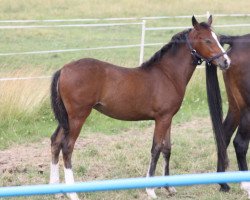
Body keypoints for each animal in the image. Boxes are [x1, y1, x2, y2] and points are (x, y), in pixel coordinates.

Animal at [49, 16, 230, 200]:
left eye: (217, 37)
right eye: (206, 40)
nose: (226, 62)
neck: (167, 74)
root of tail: (63, 69)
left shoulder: (168, 118)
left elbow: (167, 149)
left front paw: (169, 187)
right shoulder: (161, 119)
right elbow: (156, 148)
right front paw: (150, 190)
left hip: (66, 118)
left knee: (55, 142)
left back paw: (55, 190)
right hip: (77, 116)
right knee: (67, 147)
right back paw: (72, 193)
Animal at [205, 33, 250, 198]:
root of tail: (237, 40)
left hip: (235, 108)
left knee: (223, 136)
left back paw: (223, 183)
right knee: (240, 143)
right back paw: (245, 184)